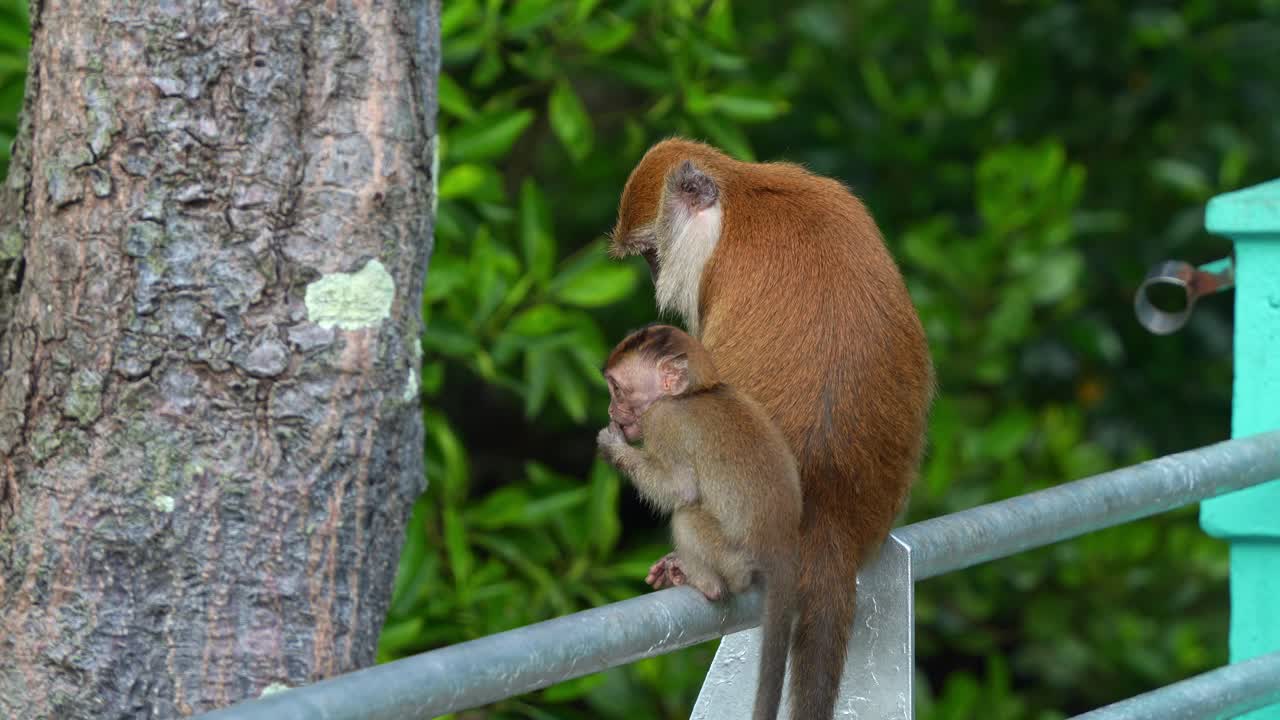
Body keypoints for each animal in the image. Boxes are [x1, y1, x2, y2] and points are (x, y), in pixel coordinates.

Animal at [596, 324, 801, 720]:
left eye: (617, 389)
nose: (611, 407)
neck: (696, 392)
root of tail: (782, 548)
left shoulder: (662, 422)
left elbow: (681, 488)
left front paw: (613, 447)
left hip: (734, 559)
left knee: (687, 517)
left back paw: (707, 583)